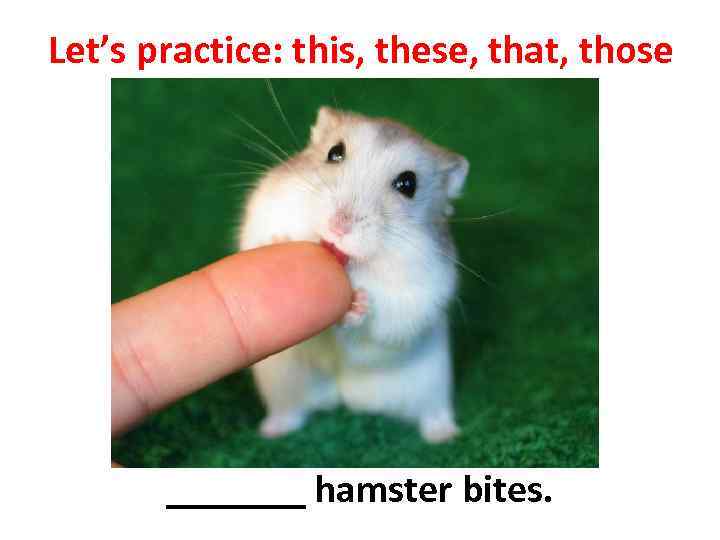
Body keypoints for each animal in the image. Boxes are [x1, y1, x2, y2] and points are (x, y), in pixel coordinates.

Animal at [238, 106, 469, 443]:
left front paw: (358, 304)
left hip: (431, 385)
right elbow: (259, 238)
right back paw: (271, 431)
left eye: (408, 184)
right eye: (335, 152)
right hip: (282, 380)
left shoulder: (421, 294)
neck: (351, 265)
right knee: (291, 411)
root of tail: (345, 397)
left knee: (432, 413)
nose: (338, 226)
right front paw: (278, 242)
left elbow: (385, 321)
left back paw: (445, 435)